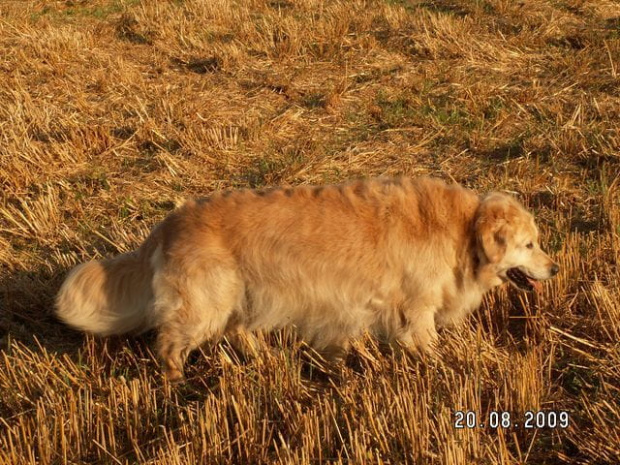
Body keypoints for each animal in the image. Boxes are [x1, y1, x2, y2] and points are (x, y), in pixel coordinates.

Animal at [54, 176, 556, 378]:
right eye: (530, 244)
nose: (553, 268)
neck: (461, 230)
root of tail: (169, 222)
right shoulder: (416, 309)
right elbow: (428, 344)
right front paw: (446, 368)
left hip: (242, 294)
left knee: (238, 332)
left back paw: (262, 360)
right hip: (205, 303)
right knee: (170, 345)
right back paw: (176, 384)